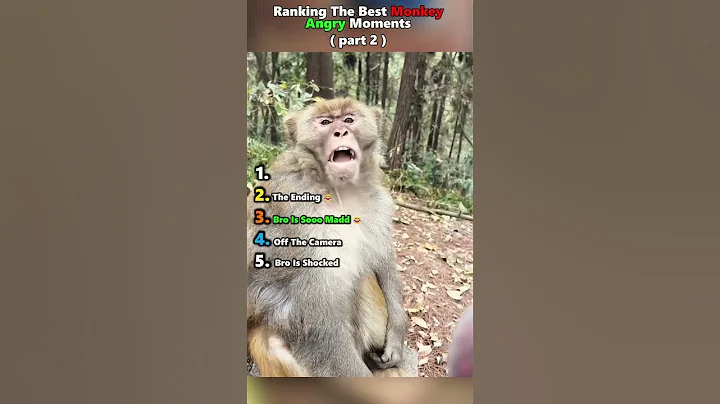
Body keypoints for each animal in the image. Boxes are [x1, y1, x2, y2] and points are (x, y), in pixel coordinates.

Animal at [247, 97, 410, 377]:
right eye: (324, 122)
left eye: (348, 119)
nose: (340, 132)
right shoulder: (298, 220)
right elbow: (316, 316)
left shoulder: (378, 204)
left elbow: (382, 259)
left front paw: (397, 333)